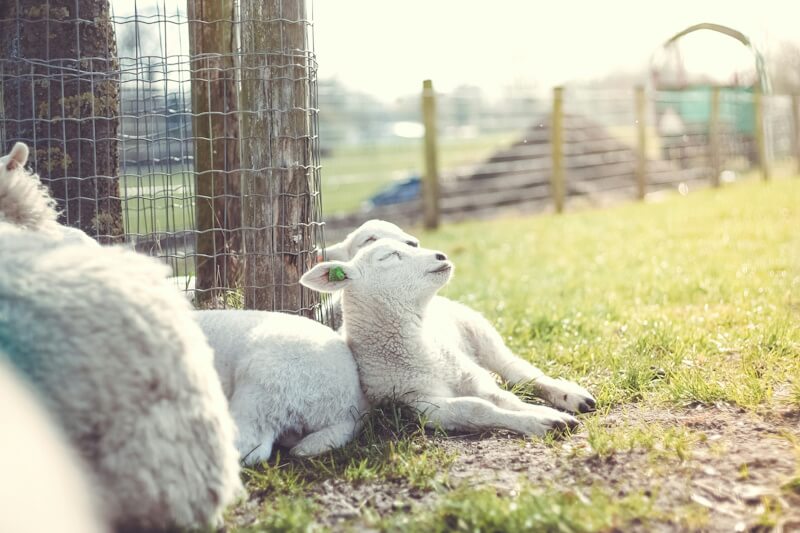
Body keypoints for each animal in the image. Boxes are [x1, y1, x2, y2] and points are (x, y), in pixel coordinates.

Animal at [301, 239, 584, 437]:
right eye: (388, 256)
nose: (441, 256)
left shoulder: (469, 375)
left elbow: (503, 398)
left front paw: (545, 413)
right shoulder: (420, 404)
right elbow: (476, 408)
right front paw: (544, 422)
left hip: (480, 332)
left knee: (519, 372)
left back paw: (572, 396)